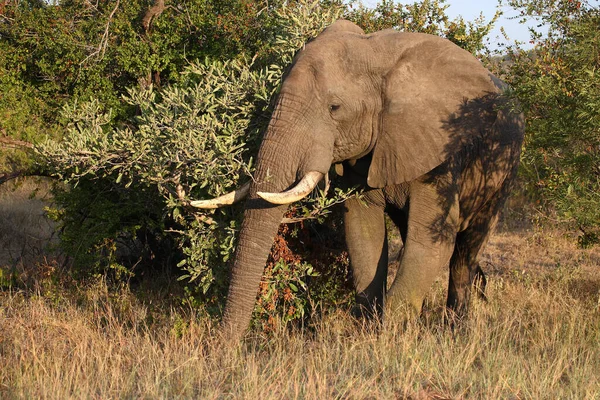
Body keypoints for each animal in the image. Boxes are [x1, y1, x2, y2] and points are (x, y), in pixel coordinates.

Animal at [193, 18, 524, 338]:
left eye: (334, 107)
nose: (225, 346)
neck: (376, 55)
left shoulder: (439, 151)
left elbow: (433, 239)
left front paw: (392, 338)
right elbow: (363, 231)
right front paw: (369, 334)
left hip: (505, 168)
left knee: (466, 251)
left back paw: (457, 330)